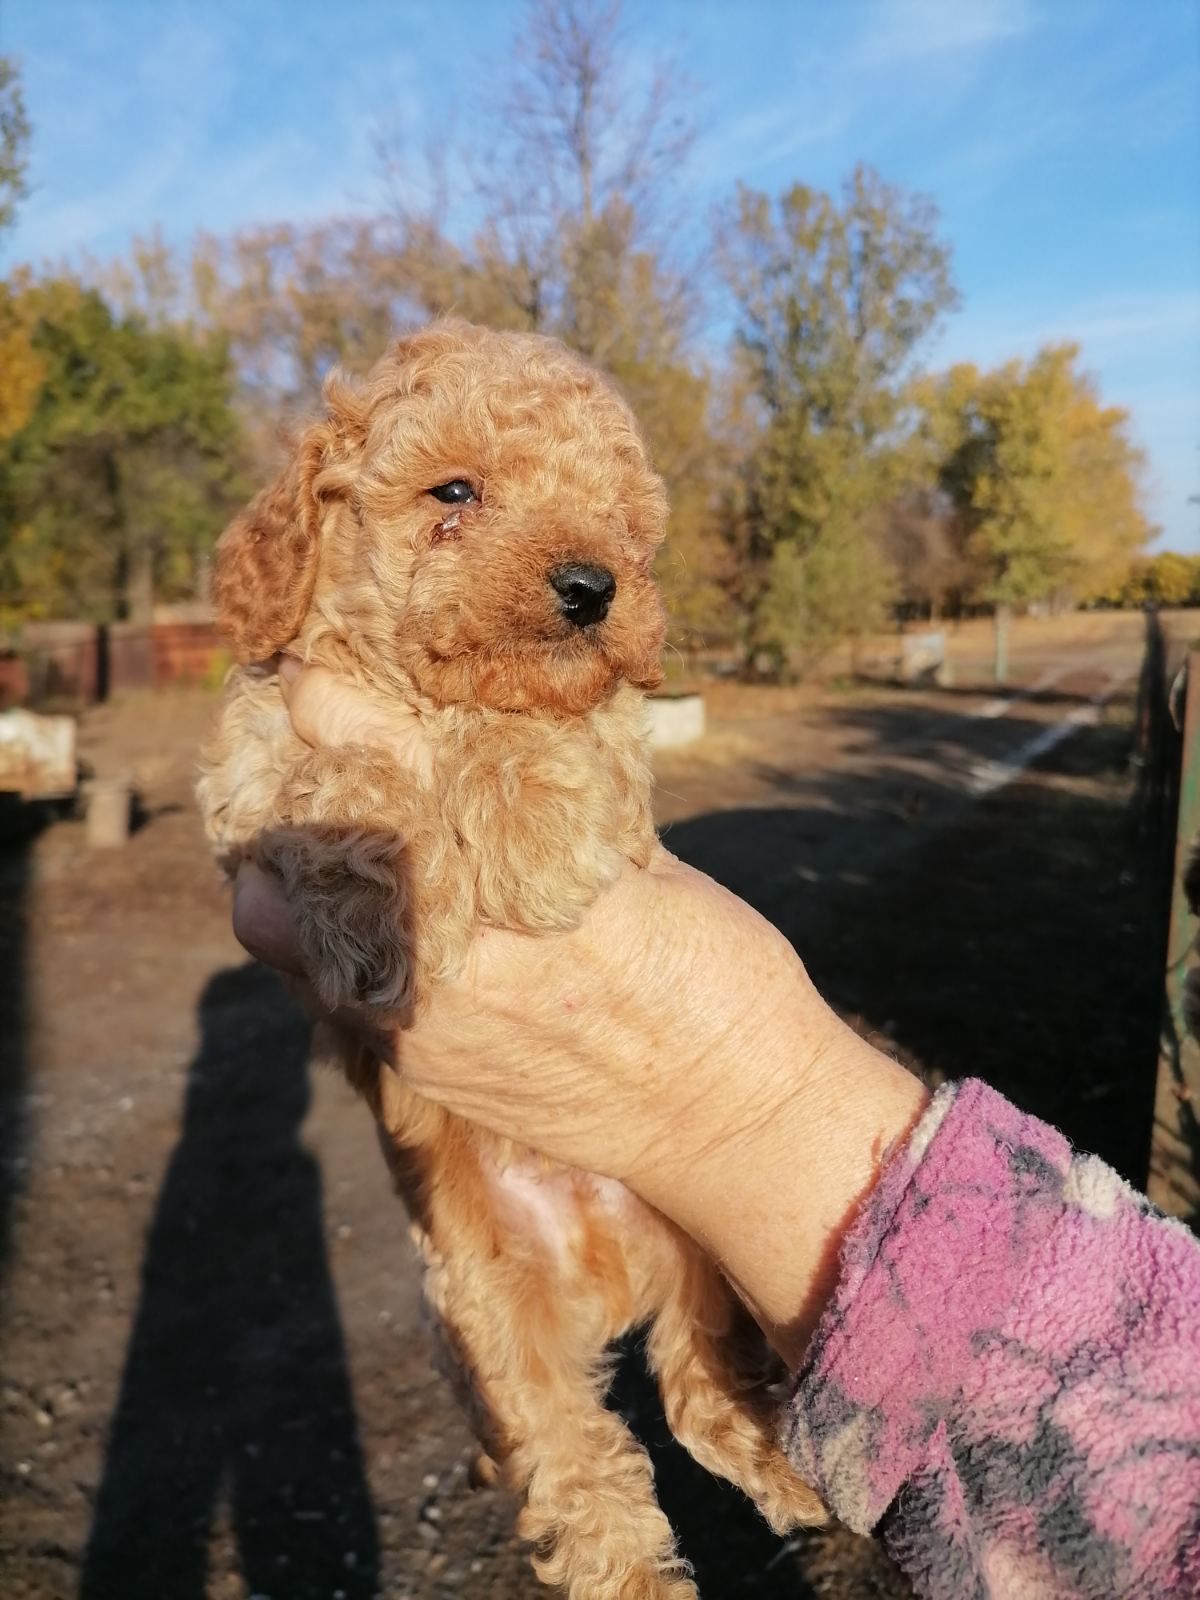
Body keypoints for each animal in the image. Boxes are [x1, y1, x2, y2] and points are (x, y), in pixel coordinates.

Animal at [200, 318, 825, 1593]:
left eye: (622, 520)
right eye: (454, 492)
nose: (593, 587)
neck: (422, 696)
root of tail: (607, 1269)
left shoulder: (617, 757)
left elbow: (557, 725)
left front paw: (524, 818)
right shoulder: (246, 766)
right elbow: (315, 780)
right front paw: (373, 898)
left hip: (706, 1250)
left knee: (703, 1391)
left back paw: (795, 1479)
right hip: (489, 1316)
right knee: (585, 1457)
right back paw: (639, 1564)